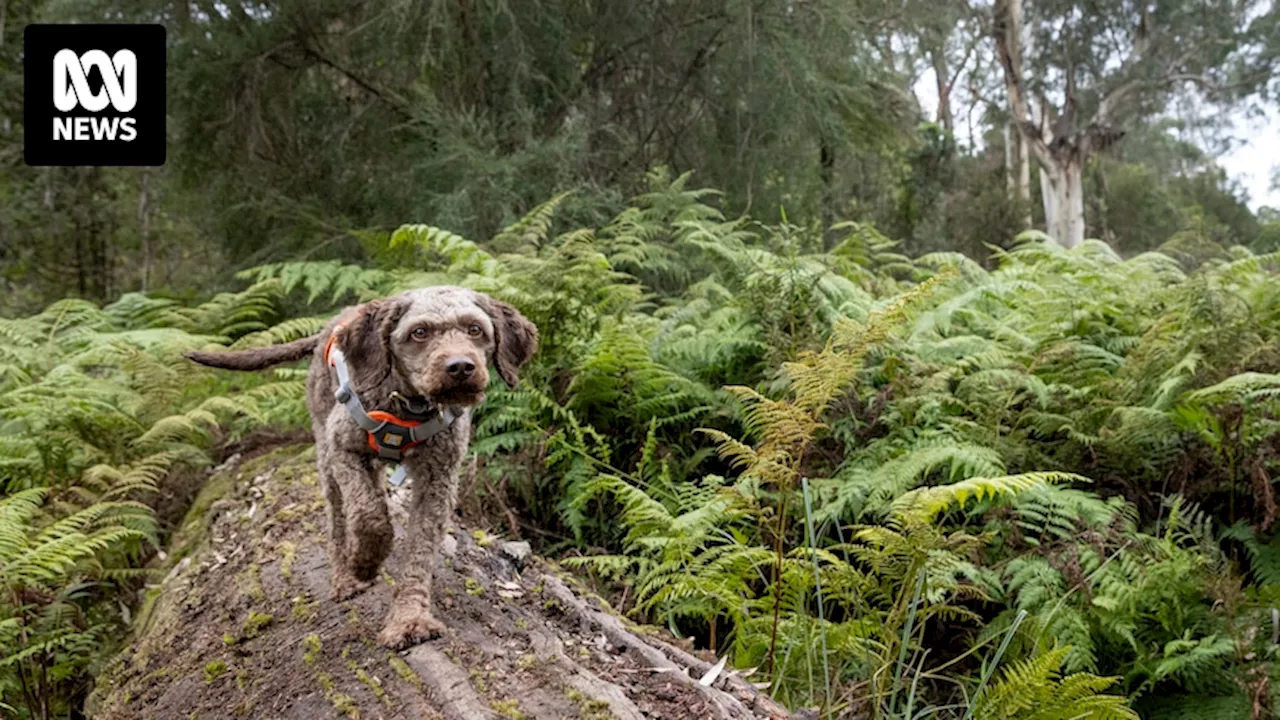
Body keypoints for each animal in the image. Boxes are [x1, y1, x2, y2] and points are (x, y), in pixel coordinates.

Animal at [185, 286, 535, 650]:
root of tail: (333, 324)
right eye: (419, 332)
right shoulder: (344, 450)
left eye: (475, 329)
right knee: (340, 519)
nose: (461, 367)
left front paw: (408, 619)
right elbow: (369, 517)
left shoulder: (438, 478)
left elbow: (419, 550)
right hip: (326, 455)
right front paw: (364, 562)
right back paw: (344, 577)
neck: (407, 405)